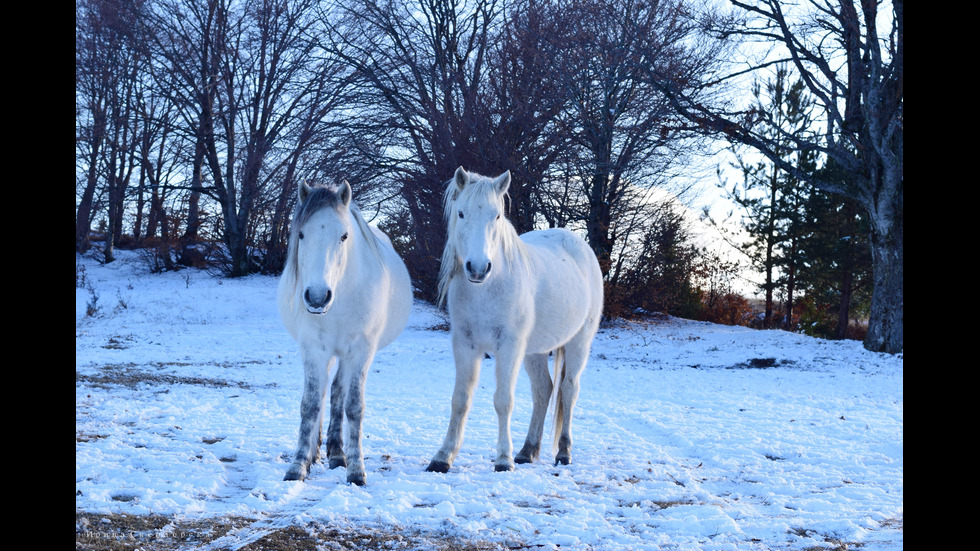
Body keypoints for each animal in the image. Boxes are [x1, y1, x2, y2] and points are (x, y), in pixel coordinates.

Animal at [278, 182, 412, 488]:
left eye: (344, 235)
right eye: (301, 234)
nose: (317, 297)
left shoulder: (361, 351)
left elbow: (353, 406)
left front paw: (356, 469)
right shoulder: (313, 348)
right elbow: (310, 403)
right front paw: (299, 464)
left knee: (338, 392)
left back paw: (337, 453)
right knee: (325, 392)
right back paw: (317, 452)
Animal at [428, 166, 604, 472]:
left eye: (497, 215)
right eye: (461, 213)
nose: (478, 268)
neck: (487, 289)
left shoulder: (508, 347)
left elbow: (503, 401)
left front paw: (503, 460)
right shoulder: (464, 345)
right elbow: (460, 400)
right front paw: (443, 457)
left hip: (579, 343)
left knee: (569, 390)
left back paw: (563, 453)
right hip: (534, 350)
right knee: (543, 390)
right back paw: (527, 450)